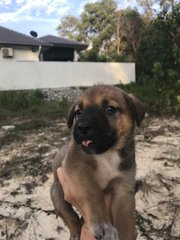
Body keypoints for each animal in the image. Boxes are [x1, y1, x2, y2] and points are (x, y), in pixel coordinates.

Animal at [50, 85, 145, 240]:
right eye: (79, 112)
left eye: (110, 109)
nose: (82, 127)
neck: (107, 153)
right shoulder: (78, 167)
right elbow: (93, 194)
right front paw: (103, 225)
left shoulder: (123, 188)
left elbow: (126, 220)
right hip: (57, 192)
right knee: (71, 217)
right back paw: (76, 233)